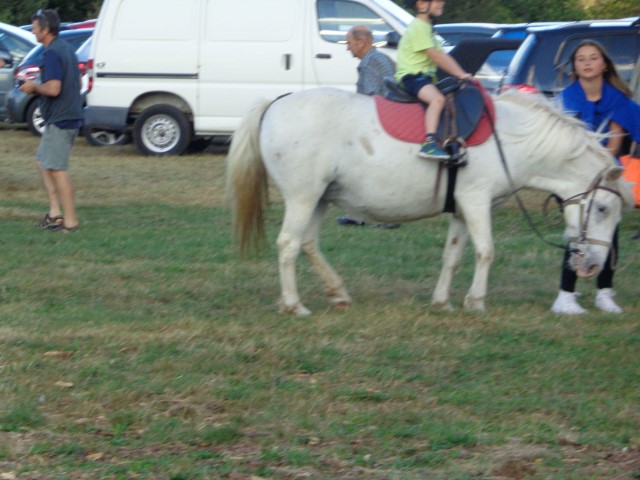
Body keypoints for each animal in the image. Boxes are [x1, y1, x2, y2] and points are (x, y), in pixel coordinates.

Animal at [226, 87, 633, 316]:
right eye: (601, 209)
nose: (592, 267)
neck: (512, 139)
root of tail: (276, 102)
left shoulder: (463, 209)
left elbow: (453, 255)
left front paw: (442, 301)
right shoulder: (476, 201)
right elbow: (486, 251)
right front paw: (476, 301)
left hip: (320, 198)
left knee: (308, 244)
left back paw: (337, 293)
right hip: (303, 196)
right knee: (288, 245)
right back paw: (294, 305)